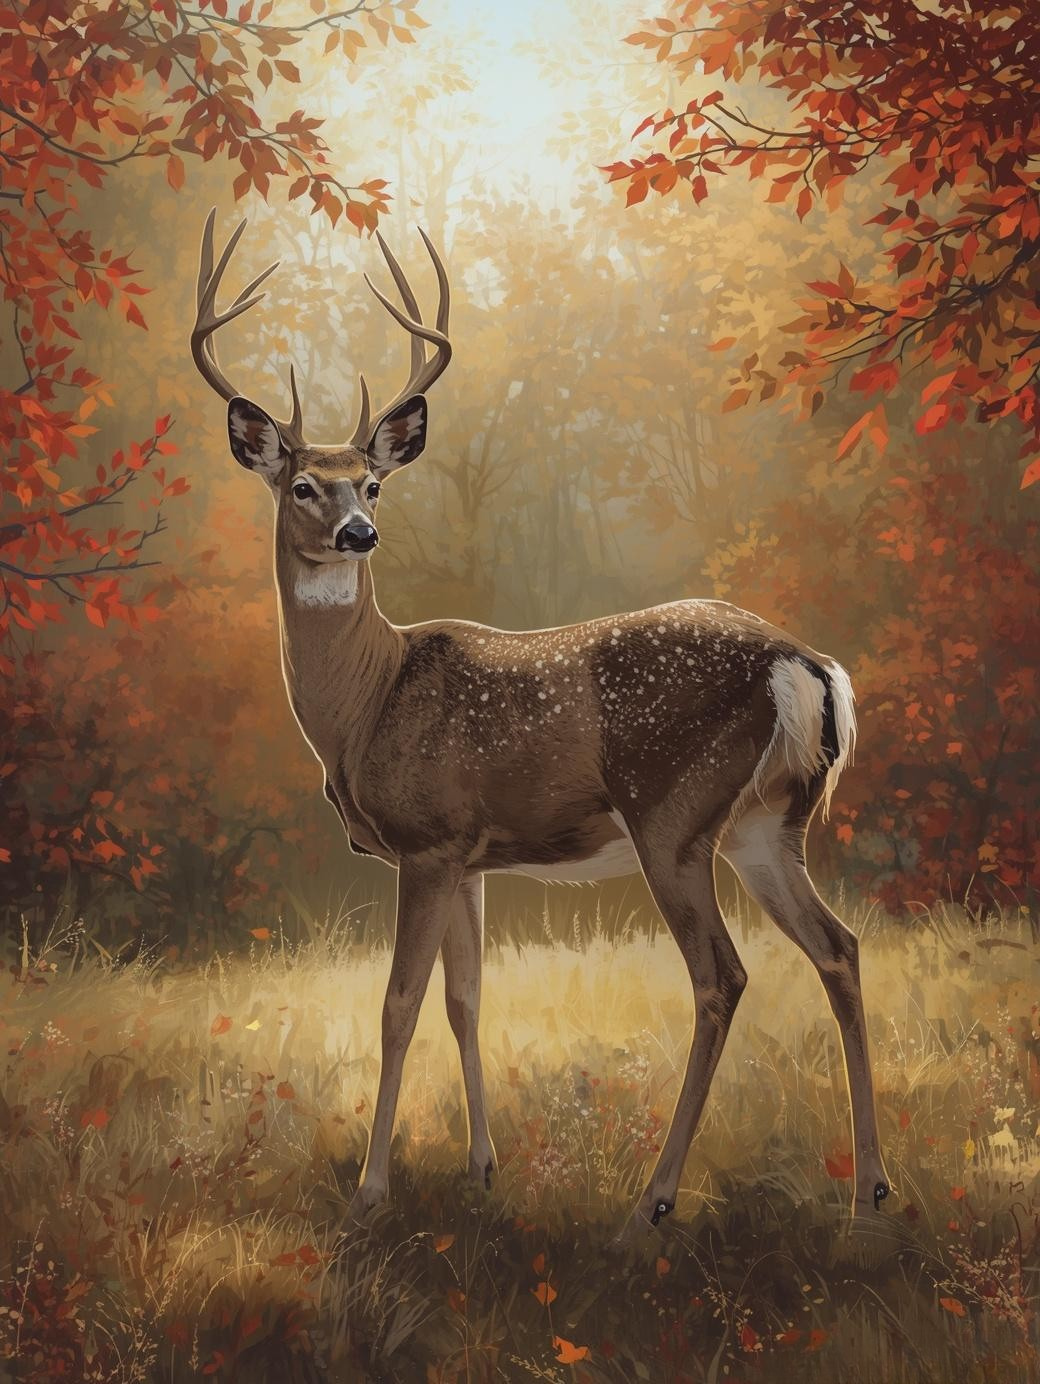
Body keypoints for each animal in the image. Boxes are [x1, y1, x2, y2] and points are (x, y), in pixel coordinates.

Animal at [190, 209, 891, 1232]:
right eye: (303, 486)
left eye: (373, 483)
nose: (360, 534)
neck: (364, 700)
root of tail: (802, 663)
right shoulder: (470, 855)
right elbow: (467, 999)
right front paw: (482, 1168)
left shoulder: (427, 839)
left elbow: (398, 1004)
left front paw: (372, 1190)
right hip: (766, 823)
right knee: (839, 948)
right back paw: (873, 1187)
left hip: (673, 814)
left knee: (722, 975)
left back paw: (656, 1199)